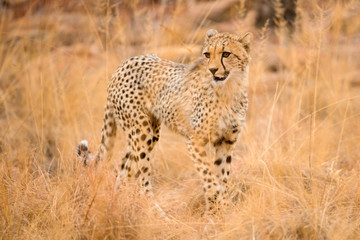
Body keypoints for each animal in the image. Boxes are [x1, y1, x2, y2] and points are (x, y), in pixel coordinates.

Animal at [77, 28, 252, 214]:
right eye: (207, 54)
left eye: (226, 54)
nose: (212, 70)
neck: (229, 89)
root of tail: (124, 63)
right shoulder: (195, 141)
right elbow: (209, 177)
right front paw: (215, 204)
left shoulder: (226, 141)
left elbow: (223, 177)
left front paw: (222, 209)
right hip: (141, 132)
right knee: (141, 176)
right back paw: (157, 212)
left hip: (149, 133)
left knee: (123, 170)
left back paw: (117, 205)